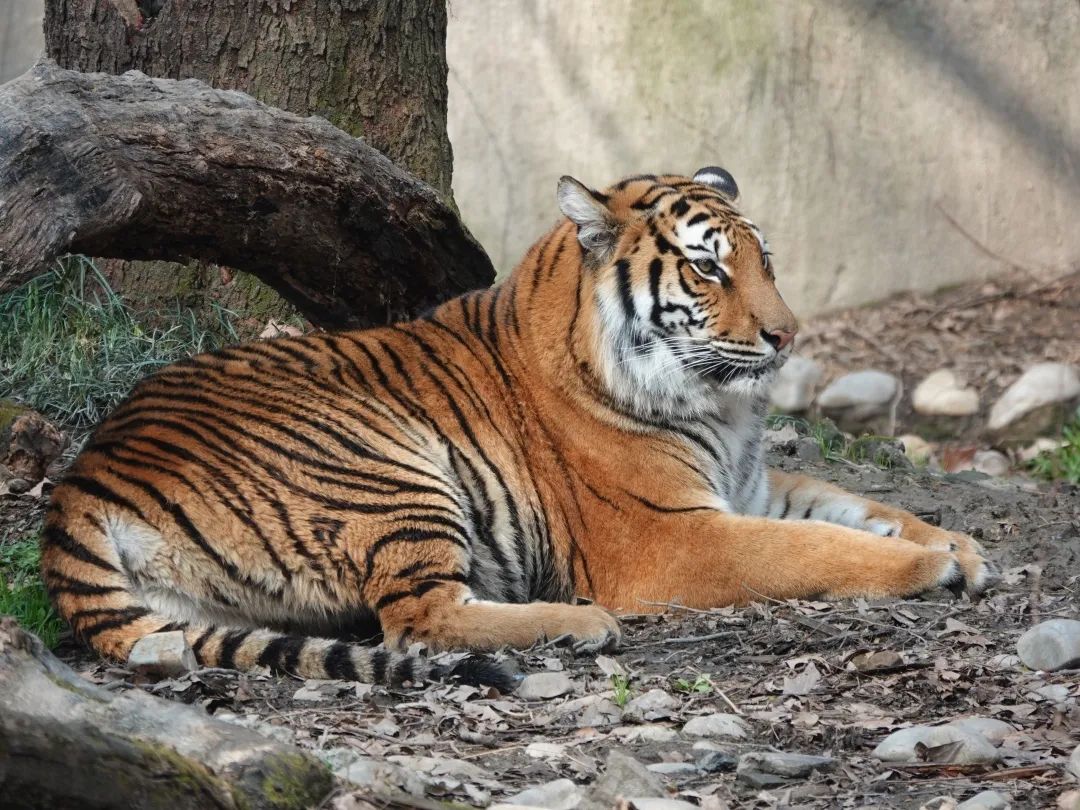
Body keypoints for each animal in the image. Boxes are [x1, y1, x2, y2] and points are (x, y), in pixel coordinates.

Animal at [42, 168, 993, 686]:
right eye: (707, 268)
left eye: (766, 261)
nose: (787, 336)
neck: (717, 407)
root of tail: (82, 482)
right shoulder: (674, 536)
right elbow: (820, 549)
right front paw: (931, 566)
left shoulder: (752, 485)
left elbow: (857, 505)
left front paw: (960, 544)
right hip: (387, 465)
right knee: (418, 618)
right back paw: (576, 622)